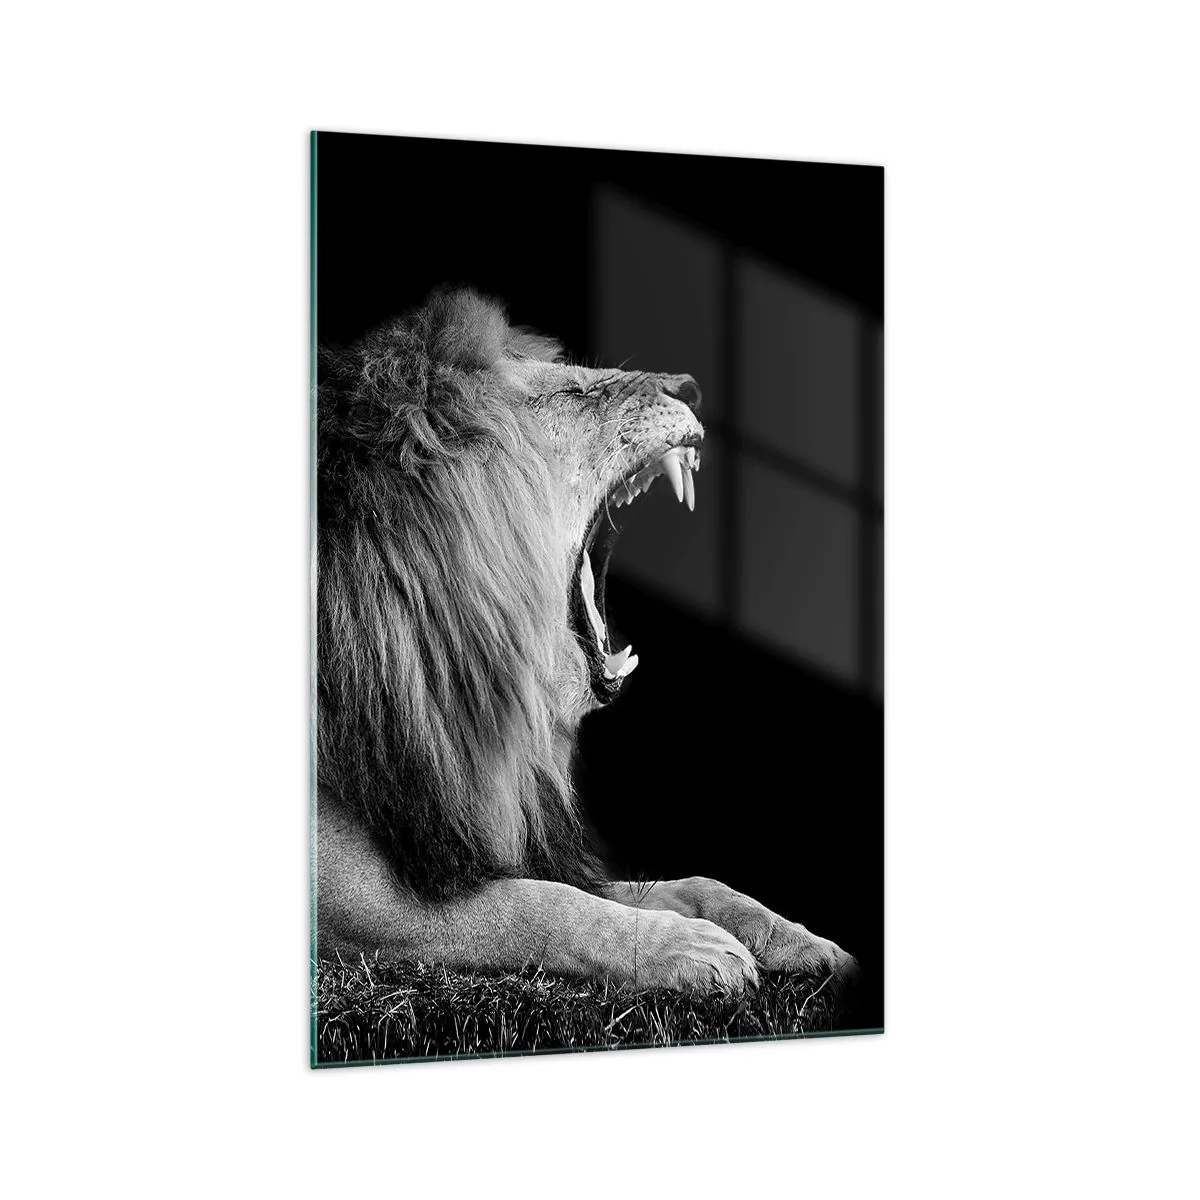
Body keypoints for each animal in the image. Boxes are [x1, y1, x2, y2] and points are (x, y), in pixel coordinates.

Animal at [316, 287, 858, 996]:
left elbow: (688, 882)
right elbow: (535, 905)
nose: (691, 387)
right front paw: (688, 947)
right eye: (571, 393)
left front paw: (800, 939)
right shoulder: (356, 895)